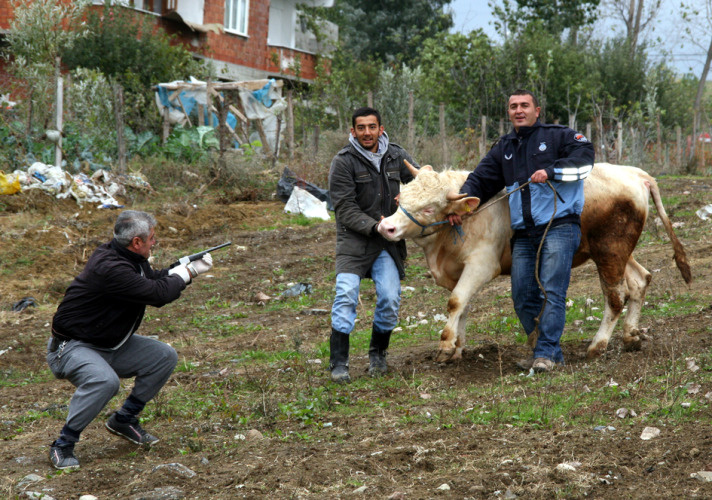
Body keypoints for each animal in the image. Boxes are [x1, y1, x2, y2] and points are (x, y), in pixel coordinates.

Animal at [382, 162, 692, 362]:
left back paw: (597, 346)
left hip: (610, 251)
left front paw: (446, 345)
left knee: (616, 296)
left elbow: (456, 302)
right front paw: (458, 348)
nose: (387, 227)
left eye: (429, 208)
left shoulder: (481, 265)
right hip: (619, 252)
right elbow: (464, 307)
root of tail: (635, 173)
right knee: (640, 281)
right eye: (399, 198)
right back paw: (630, 336)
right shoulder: (457, 271)